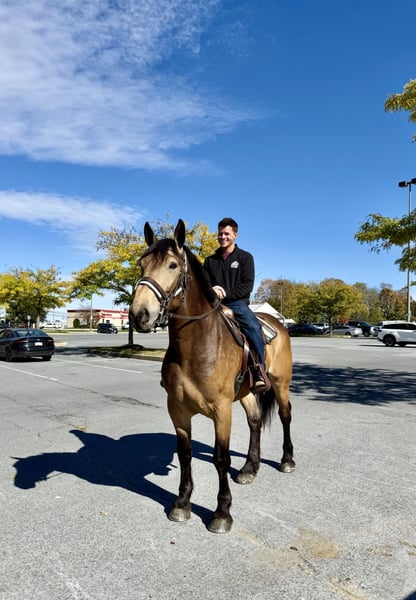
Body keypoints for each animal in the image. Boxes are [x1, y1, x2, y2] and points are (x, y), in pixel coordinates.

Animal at [129, 219, 295, 533]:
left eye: (172, 265)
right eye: (141, 264)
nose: (139, 315)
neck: (196, 347)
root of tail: (277, 323)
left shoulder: (221, 410)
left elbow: (220, 458)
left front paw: (221, 513)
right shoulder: (178, 409)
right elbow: (185, 454)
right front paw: (182, 504)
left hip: (281, 384)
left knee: (285, 416)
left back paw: (287, 459)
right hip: (246, 393)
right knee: (255, 421)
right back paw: (249, 468)